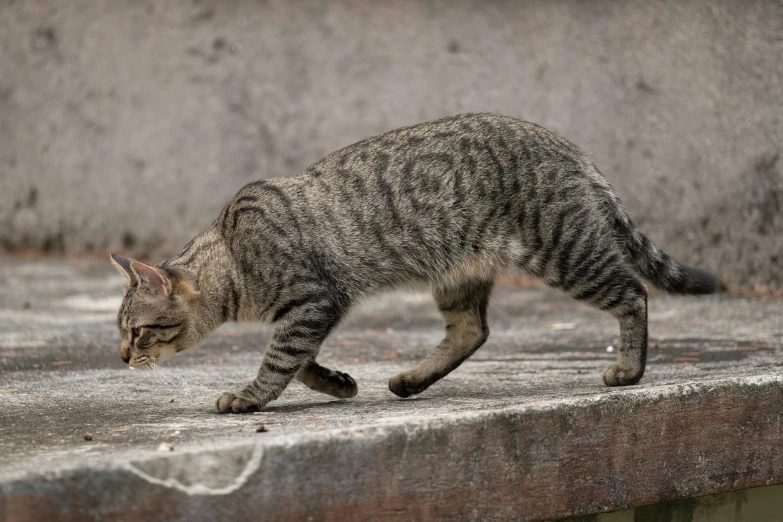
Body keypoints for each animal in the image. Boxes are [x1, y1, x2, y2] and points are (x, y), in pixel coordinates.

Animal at [110, 112, 716, 410]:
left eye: (138, 332)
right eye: (122, 333)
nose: (120, 357)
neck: (233, 257)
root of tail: (572, 148)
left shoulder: (313, 301)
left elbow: (281, 360)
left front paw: (251, 396)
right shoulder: (311, 311)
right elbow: (299, 361)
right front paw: (336, 383)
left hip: (566, 251)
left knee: (633, 292)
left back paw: (630, 369)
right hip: (459, 273)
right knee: (472, 331)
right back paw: (409, 381)